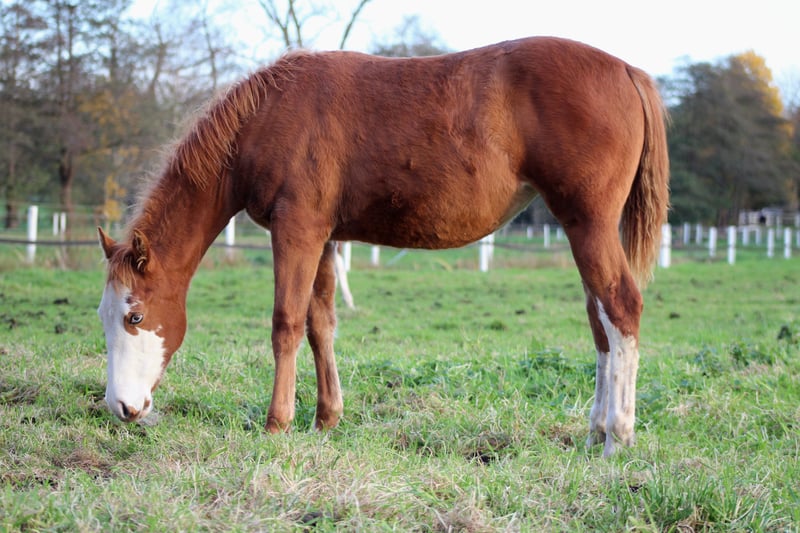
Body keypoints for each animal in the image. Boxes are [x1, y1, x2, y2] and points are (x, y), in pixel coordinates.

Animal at [97, 36, 669, 457]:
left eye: (134, 316)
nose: (121, 408)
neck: (268, 115)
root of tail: (626, 70)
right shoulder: (324, 238)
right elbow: (320, 323)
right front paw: (326, 420)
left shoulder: (297, 230)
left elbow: (286, 323)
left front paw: (277, 424)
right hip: (581, 230)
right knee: (600, 322)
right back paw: (595, 431)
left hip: (588, 225)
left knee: (622, 307)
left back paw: (618, 437)